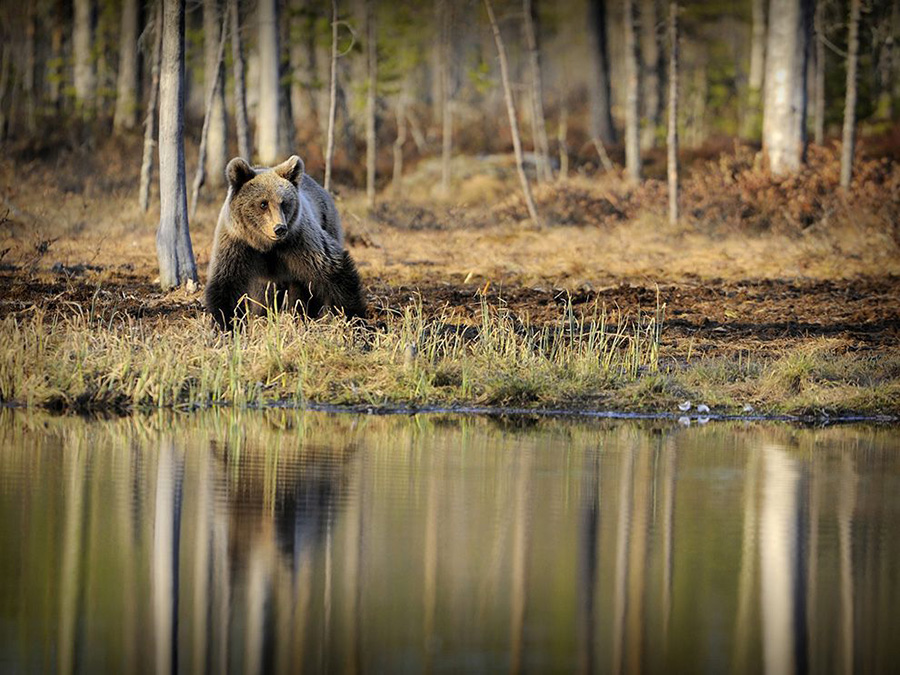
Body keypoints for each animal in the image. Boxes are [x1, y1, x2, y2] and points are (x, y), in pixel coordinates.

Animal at [204, 156, 366, 330]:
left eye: (284, 203)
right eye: (263, 203)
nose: (279, 228)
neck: (266, 245)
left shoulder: (299, 241)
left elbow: (333, 271)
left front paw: (355, 319)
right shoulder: (237, 245)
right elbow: (225, 285)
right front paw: (226, 326)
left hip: (326, 225)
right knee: (264, 296)